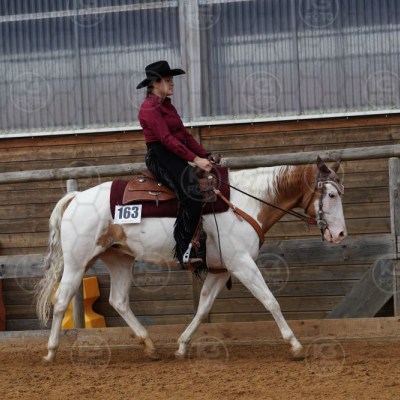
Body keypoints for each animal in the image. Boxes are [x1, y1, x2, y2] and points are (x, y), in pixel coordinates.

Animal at [35, 157, 347, 362]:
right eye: (331, 194)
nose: (341, 234)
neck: (245, 203)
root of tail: (76, 197)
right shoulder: (242, 264)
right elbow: (270, 301)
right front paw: (295, 345)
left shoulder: (221, 270)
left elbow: (203, 306)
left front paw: (182, 345)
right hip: (77, 263)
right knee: (61, 301)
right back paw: (50, 352)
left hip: (119, 259)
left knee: (119, 301)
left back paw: (150, 346)